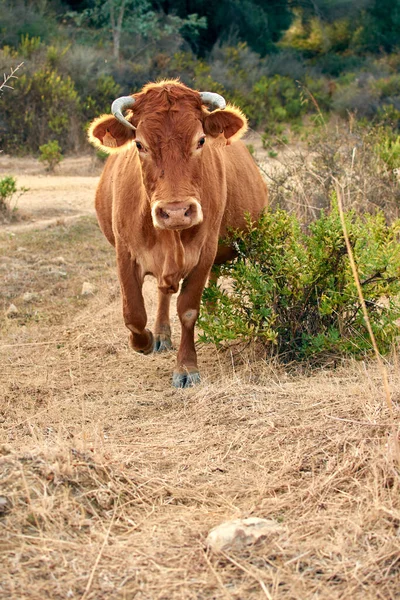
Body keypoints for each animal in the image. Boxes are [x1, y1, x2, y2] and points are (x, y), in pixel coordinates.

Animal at [89, 79, 268, 386]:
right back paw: (161, 333)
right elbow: (133, 314)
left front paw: (186, 367)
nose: (175, 212)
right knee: (163, 294)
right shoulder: (125, 253)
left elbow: (188, 310)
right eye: (139, 144)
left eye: (201, 140)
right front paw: (147, 341)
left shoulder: (205, 251)